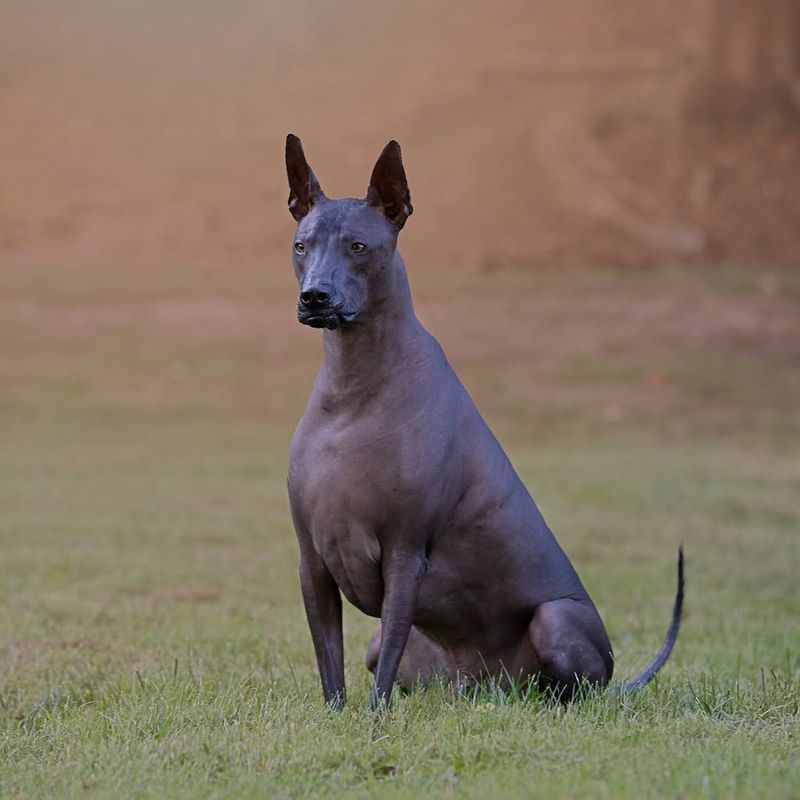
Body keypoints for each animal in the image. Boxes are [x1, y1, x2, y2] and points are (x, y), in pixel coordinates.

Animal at [282, 134, 680, 708]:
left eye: (358, 247)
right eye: (301, 246)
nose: (315, 296)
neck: (352, 389)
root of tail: (485, 685)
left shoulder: (406, 554)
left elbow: (381, 675)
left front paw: (373, 718)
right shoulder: (311, 562)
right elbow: (329, 664)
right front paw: (337, 716)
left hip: (556, 622)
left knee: (571, 691)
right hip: (399, 651)